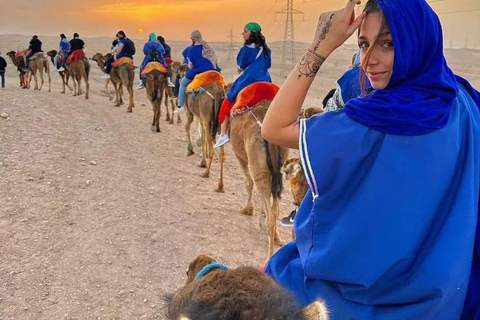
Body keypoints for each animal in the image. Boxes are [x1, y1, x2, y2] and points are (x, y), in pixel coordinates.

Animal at [229, 100, 288, 260]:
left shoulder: (239, 154)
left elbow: (247, 182)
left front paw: (247, 209)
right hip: (280, 163)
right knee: (275, 209)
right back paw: (277, 237)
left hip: (256, 160)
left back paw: (269, 257)